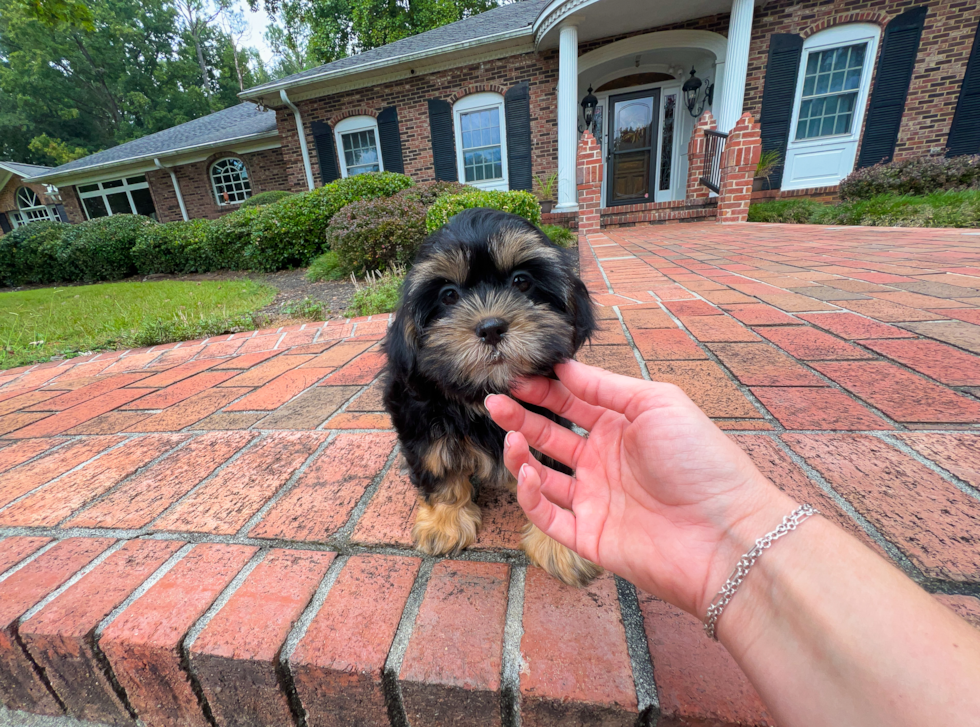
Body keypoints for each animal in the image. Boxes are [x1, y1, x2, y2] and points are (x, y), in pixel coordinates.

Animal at [380, 206, 596, 584]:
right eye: (449, 295)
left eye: (521, 281)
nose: (491, 328)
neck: (485, 392)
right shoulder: (419, 414)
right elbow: (437, 465)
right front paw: (444, 523)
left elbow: (551, 469)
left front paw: (560, 542)